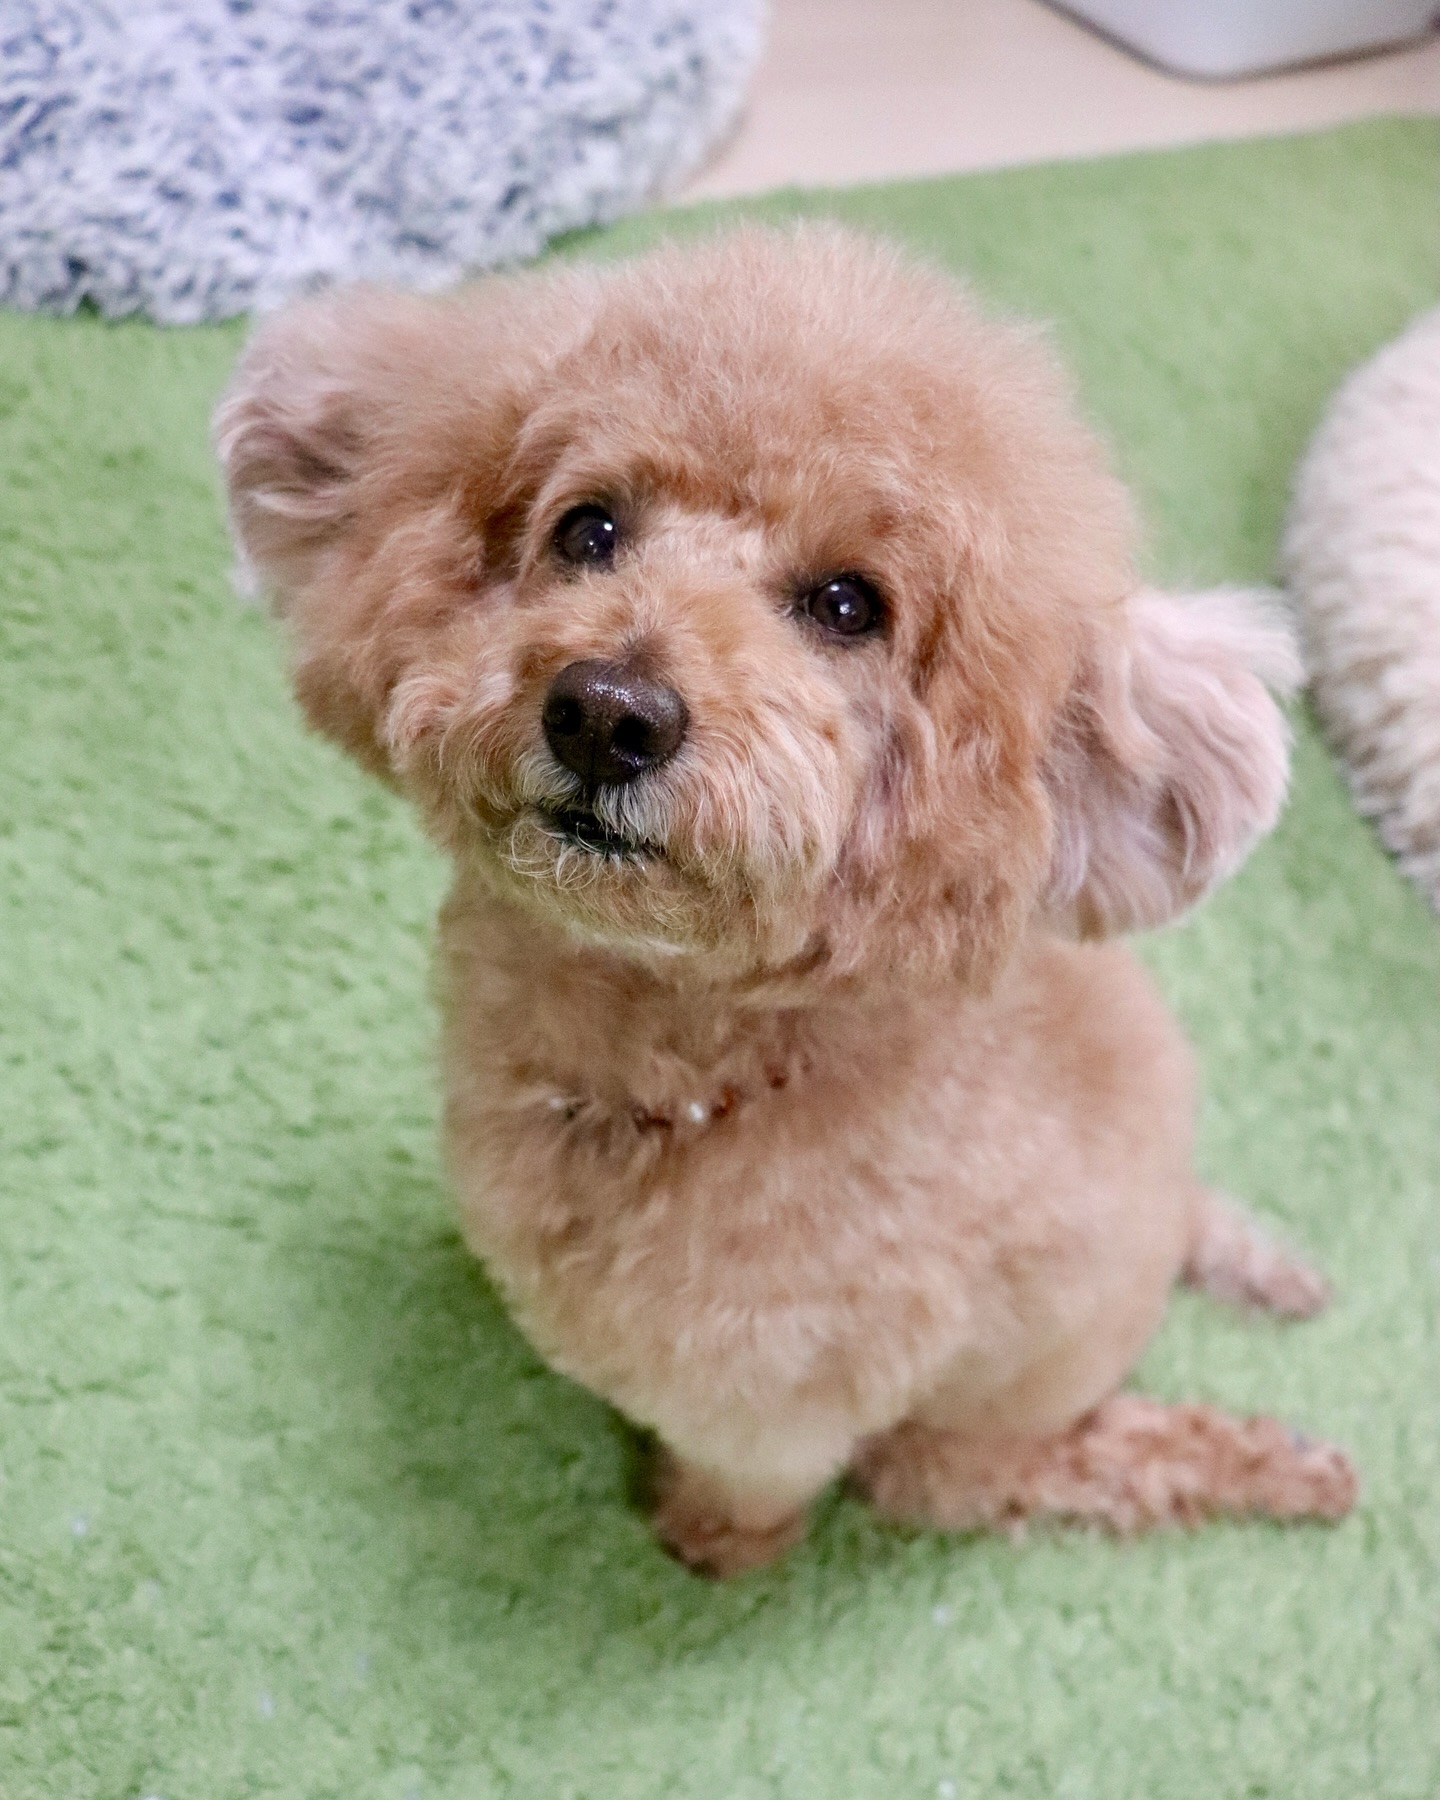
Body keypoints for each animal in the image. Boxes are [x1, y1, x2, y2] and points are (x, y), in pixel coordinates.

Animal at [216, 225, 1357, 1575]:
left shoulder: (773, 1409)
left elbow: (746, 1485)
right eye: (588, 529)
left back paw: (1282, 1459)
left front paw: (706, 1546)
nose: (606, 712)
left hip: (957, 1457)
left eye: (849, 605)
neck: (682, 1081)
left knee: (1072, 1467)